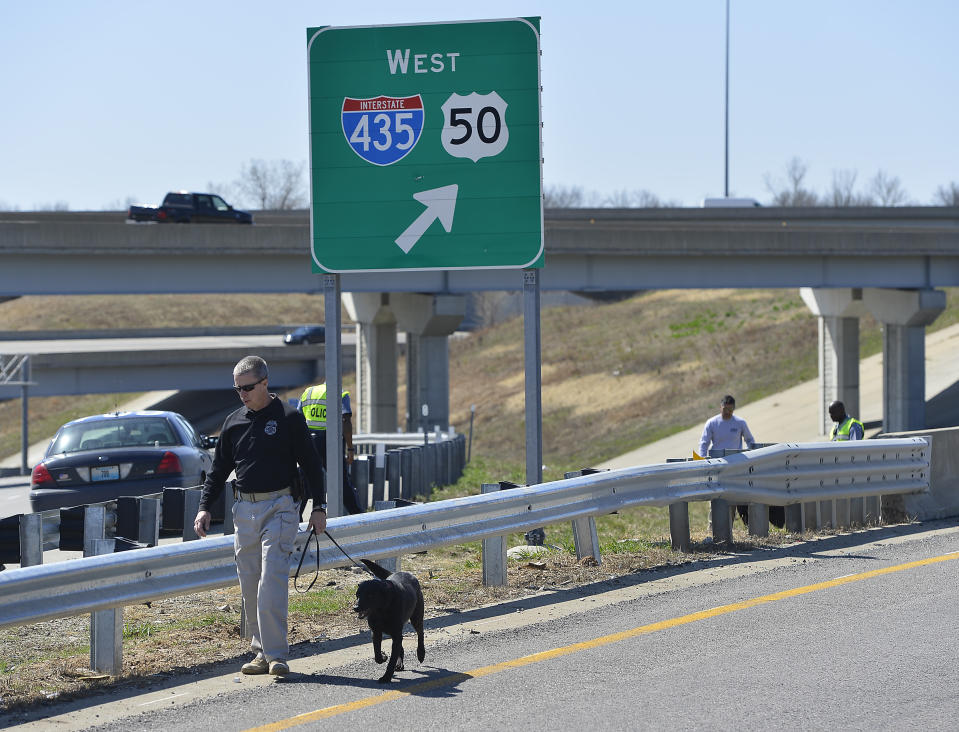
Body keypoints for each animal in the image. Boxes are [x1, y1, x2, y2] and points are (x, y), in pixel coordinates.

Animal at [354, 556, 426, 684]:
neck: (381, 610)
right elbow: (377, 654)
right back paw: (400, 664)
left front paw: (386, 677)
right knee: (401, 648)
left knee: (420, 633)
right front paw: (383, 657)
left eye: (370, 595)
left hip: (416, 617)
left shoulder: (396, 634)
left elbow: (392, 659)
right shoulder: (376, 632)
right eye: (357, 595)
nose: (355, 607)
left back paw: (421, 654)